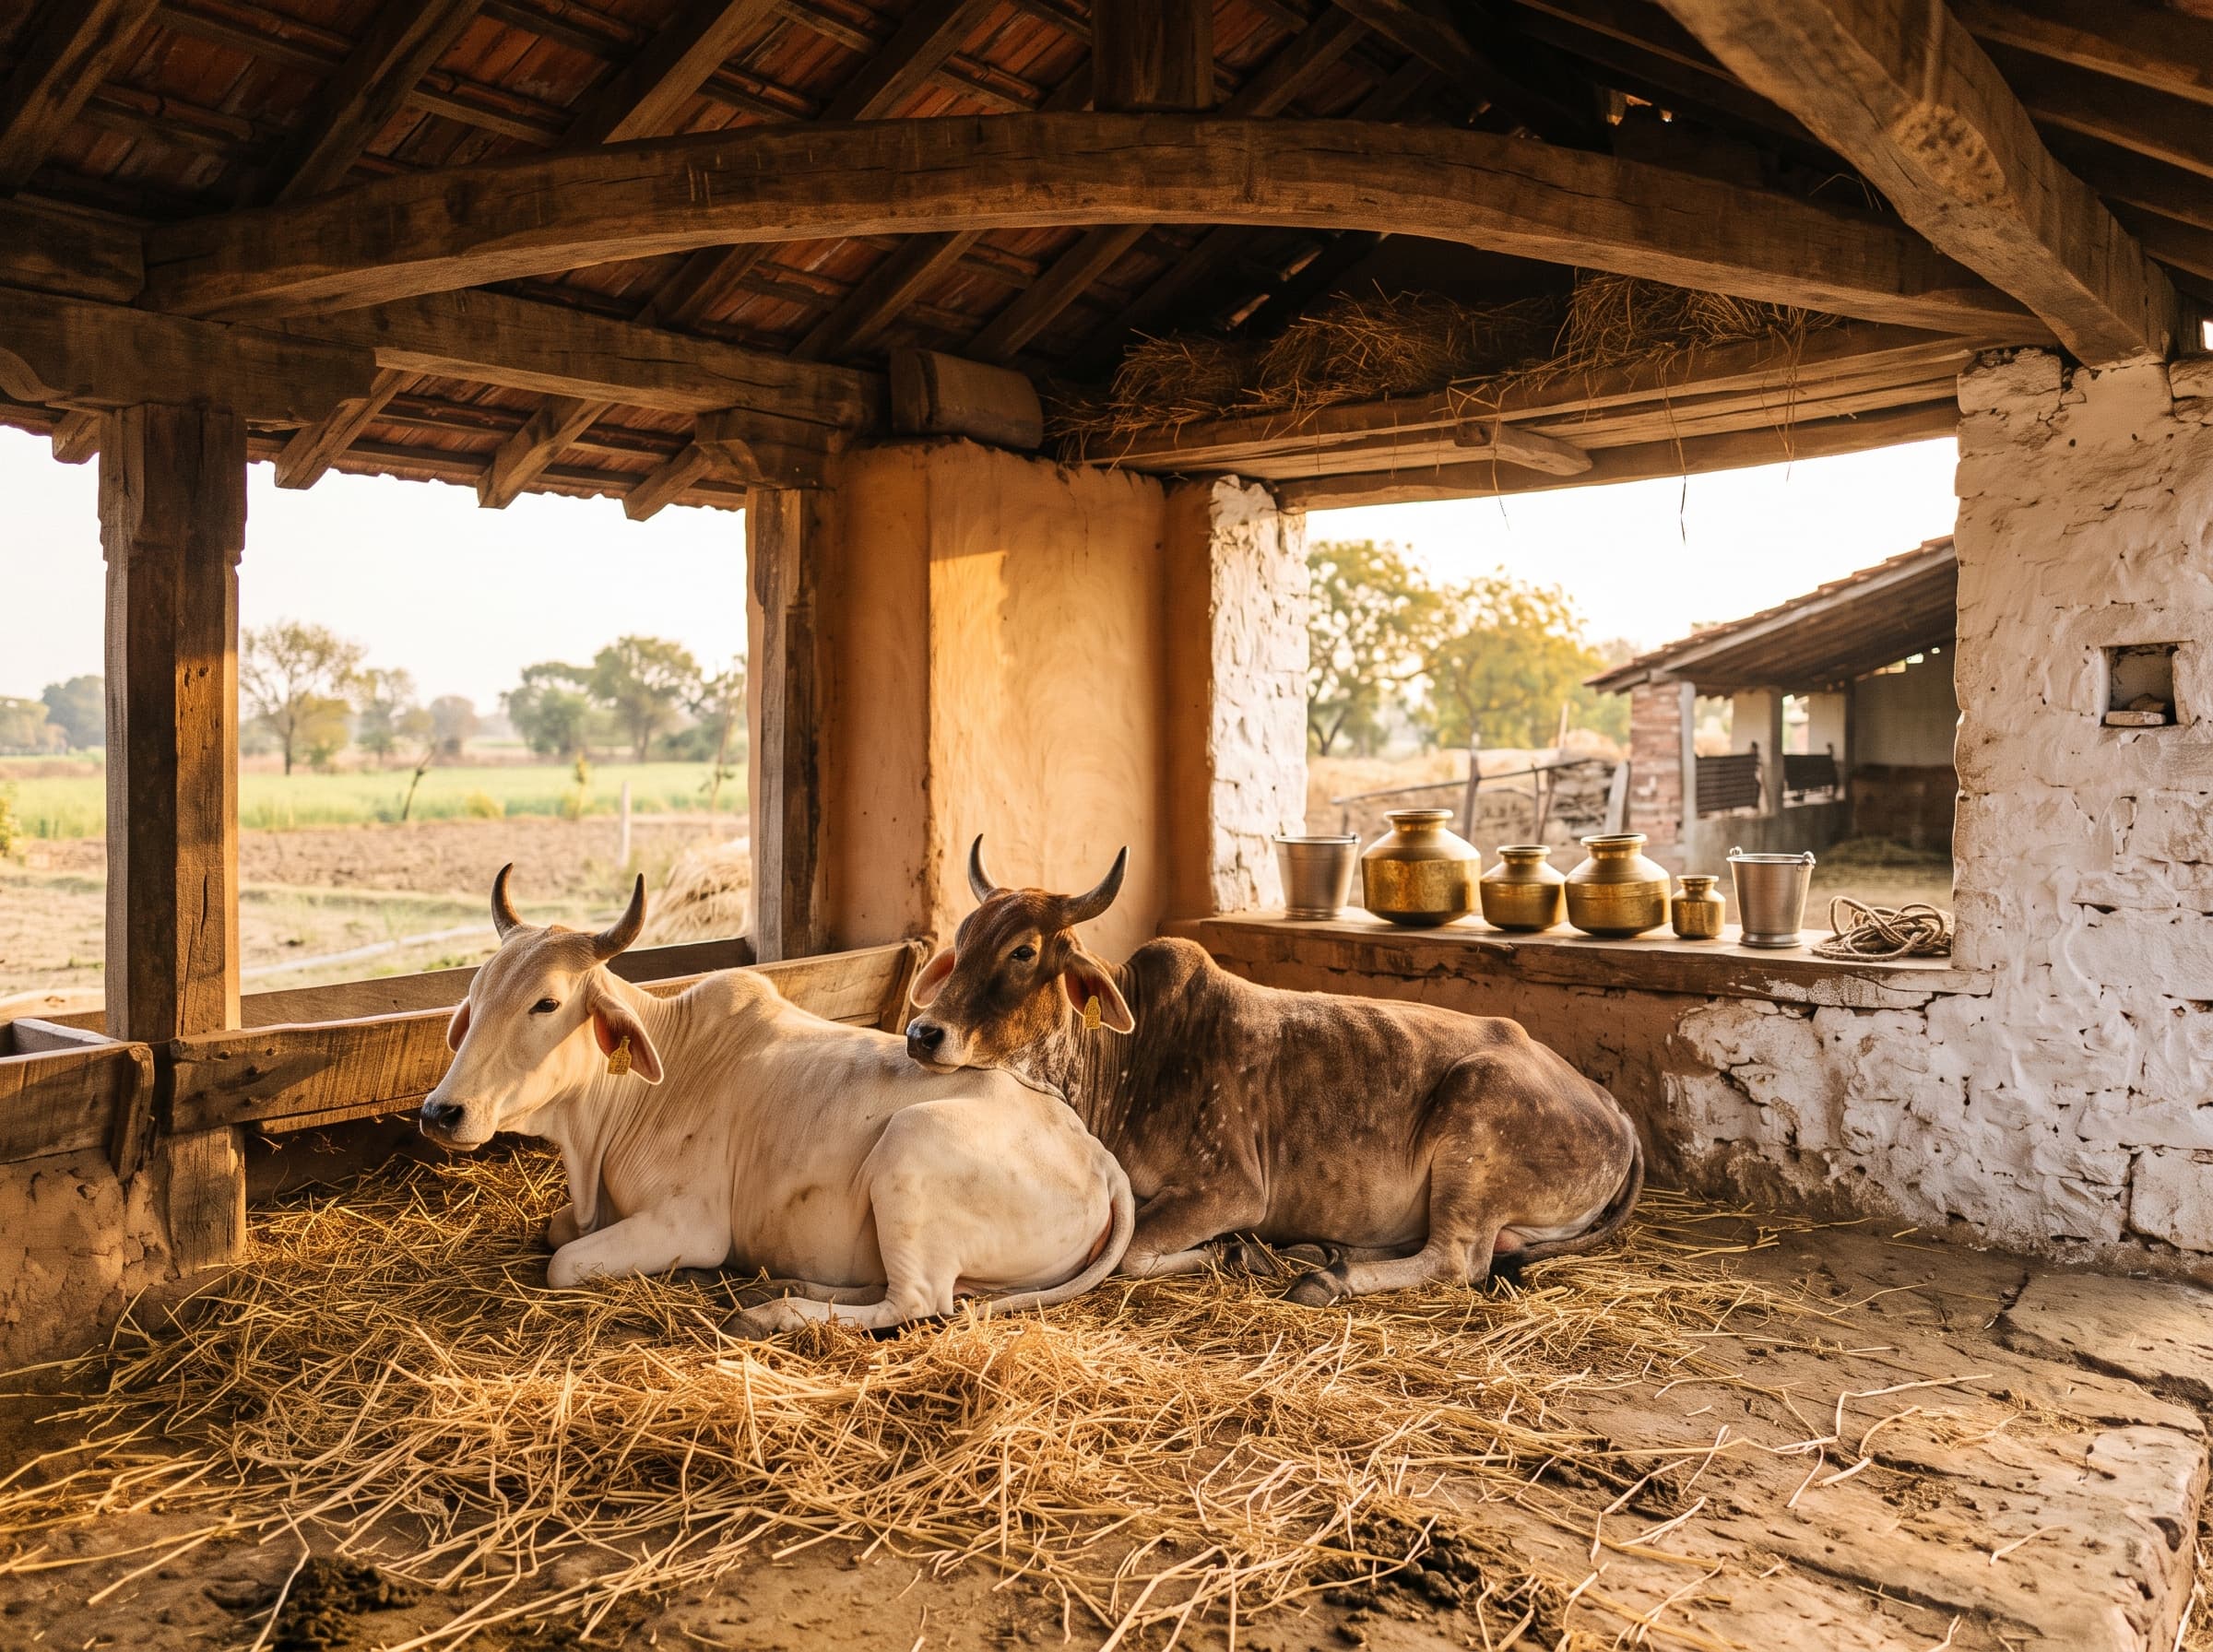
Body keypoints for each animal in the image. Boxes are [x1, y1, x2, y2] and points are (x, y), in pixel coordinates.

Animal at [419, 866, 1133, 1338]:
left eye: (547, 1003)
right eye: (475, 997)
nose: (440, 1112)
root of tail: (1098, 1157)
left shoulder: (689, 1224)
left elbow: (563, 1262)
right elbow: (558, 1231)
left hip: (910, 1148)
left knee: (919, 1302)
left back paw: (771, 1310)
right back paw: (784, 1283)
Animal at [900, 839, 1642, 1305]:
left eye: (1024, 951)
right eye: (961, 940)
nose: (922, 1033)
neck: (1128, 1065)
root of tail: (1614, 1109)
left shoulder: (1232, 1187)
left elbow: (1136, 1252)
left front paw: (1236, 1252)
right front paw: (1249, 1252)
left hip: (1476, 1130)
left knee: (1457, 1260)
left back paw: (1327, 1278)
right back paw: (1324, 1252)